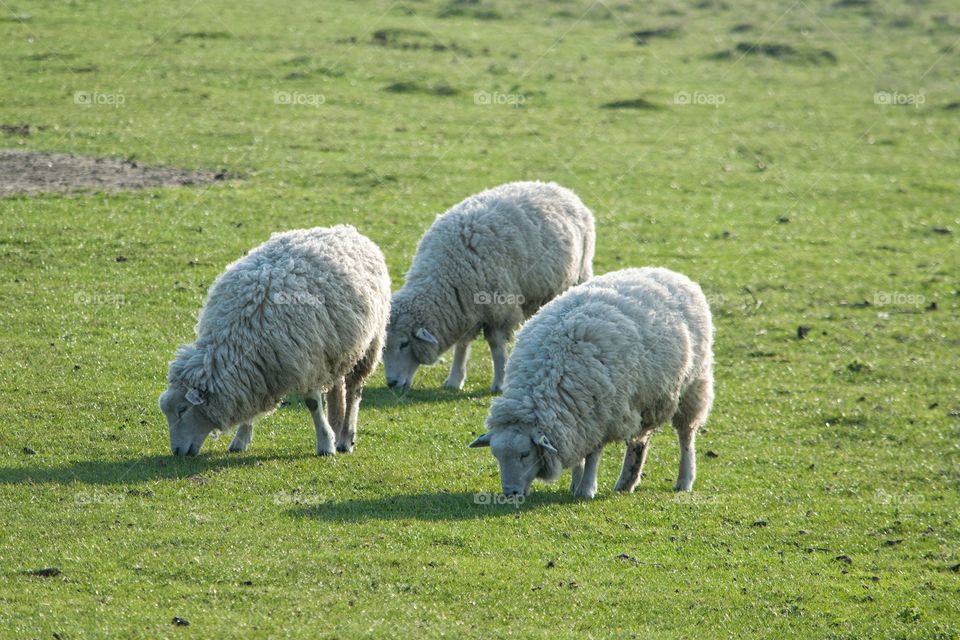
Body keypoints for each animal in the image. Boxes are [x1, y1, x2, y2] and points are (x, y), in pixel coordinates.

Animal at [159, 225, 390, 457]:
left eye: (182, 409)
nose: (177, 451)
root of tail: (346, 230)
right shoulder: (257, 371)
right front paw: (241, 439)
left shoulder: (306, 360)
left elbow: (312, 403)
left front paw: (325, 444)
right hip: (337, 348)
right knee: (337, 386)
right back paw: (336, 424)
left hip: (370, 343)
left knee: (354, 391)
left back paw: (345, 438)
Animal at [383, 181, 595, 393]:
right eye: (383, 347)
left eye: (404, 344)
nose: (391, 384)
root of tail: (558, 188)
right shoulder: (466, 309)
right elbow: (463, 343)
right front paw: (455, 379)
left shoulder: (499, 309)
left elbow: (496, 345)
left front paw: (500, 381)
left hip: (580, 275)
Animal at [469, 267, 714, 498]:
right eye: (496, 456)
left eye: (525, 454)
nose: (510, 493)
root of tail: (672, 273)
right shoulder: (576, 417)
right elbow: (579, 453)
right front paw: (576, 483)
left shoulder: (600, 415)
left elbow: (593, 454)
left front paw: (586, 489)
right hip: (645, 398)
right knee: (639, 441)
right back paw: (626, 482)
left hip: (693, 385)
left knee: (686, 435)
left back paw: (684, 479)